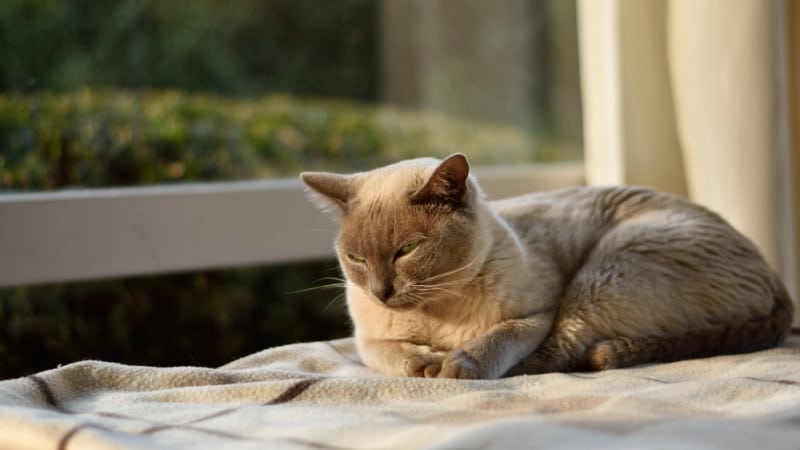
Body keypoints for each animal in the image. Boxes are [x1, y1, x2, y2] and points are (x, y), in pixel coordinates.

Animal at [300, 153, 792, 378]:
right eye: (356, 259)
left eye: (406, 250)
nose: (381, 291)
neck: (437, 317)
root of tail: (776, 279)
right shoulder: (366, 339)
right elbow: (393, 354)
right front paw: (425, 364)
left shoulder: (535, 315)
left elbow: (496, 339)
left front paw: (454, 365)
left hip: (605, 272)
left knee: (565, 355)